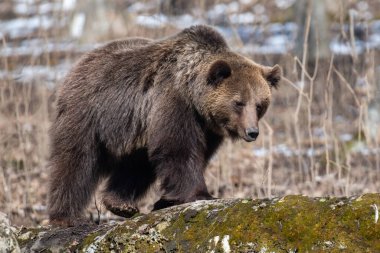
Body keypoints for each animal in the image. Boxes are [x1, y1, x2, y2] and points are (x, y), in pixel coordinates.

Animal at [47, 25, 280, 225]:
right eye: (239, 102)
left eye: (259, 105)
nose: (252, 132)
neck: (194, 96)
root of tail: (80, 62)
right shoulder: (173, 103)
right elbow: (178, 149)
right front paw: (203, 194)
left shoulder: (207, 128)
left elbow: (192, 154)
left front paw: (166, 200)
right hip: (90, 113)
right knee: (76, 160)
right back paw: (66, 216)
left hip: (136, 129)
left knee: (137, 164)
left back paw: (121, 203)